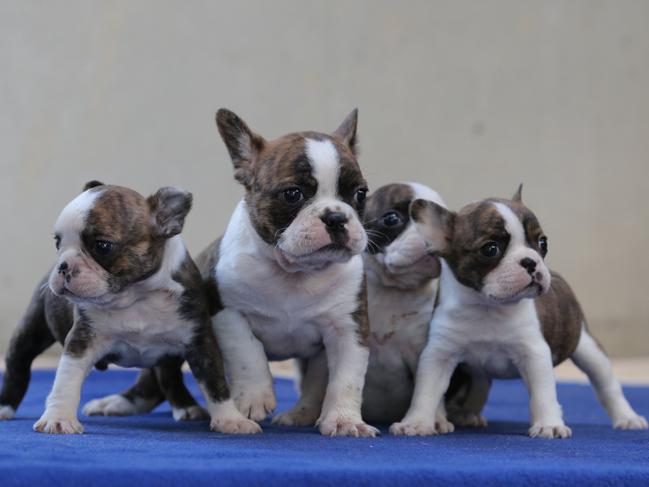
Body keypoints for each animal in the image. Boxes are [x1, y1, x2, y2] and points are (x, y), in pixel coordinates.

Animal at [1, 182, 260, 434]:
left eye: (102, 246)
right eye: (58, 242)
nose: (63, 265)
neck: (137, 296)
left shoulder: (200, 341)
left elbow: (215, 382)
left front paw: (230, 420)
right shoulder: (82, 340)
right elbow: (66, 380)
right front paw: (58, 419)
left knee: (169, 377)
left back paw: (186, 407)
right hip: (31, 329)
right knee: (18, 364)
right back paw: (5, 407)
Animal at [196, 108, 380, 436]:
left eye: (360, 194)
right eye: (292, 194)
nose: (336, 217)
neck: (294, 272)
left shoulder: (349, 329)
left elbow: (346, 378)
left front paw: (345, 420)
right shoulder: (228, 312)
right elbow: (247, 352)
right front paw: (254, 397)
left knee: (315, 383)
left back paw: (300, 414)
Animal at [390, 186, 648, 438]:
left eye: (543, 243)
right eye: (490, 249)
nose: (531, 261)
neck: (487, 307)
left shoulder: (534, 353)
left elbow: (543, 394)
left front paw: (549, 425)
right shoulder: (438, 355)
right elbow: (426, 392)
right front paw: (416, 423)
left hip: (587, 347)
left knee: (607, 385)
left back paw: (627, 418)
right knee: (480, 383)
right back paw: (467, 415)